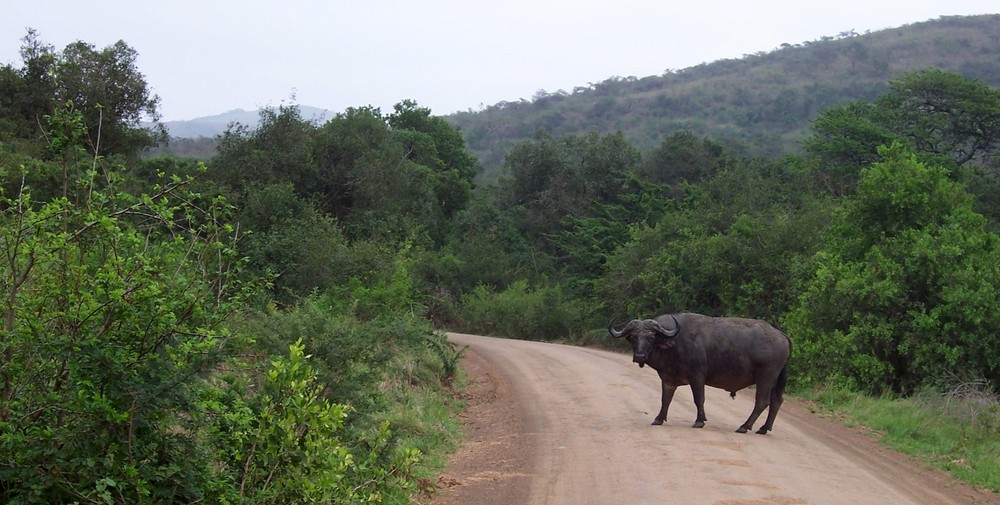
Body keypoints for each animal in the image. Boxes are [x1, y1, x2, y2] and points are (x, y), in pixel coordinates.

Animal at [604, 312, 792, 434]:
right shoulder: (668, 379)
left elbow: (698, 399)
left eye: (651, 337)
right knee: (776, 401)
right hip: (775, 381)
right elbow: (665, 399)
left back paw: (744, 427)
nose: (639, 356)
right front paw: (659, 418)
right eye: (633, 337)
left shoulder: (697, 376)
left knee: (762, 402)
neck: (675, 342)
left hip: (765, 378)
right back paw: (763, 428)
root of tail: (781, 335)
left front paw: (700, 421)